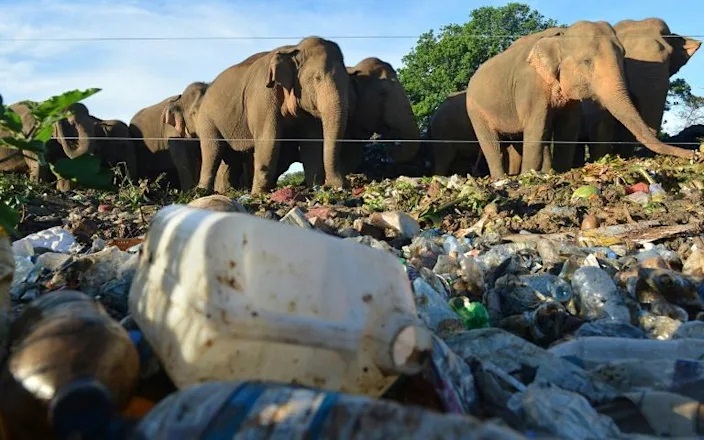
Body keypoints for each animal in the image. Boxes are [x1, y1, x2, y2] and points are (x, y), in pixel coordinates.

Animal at [194, 37, 350, 195]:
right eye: (317, 78)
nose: (339, 186)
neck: (294, 49)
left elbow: (312, 142)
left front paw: (314, 188)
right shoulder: (263, 96)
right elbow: (269, 138)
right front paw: (258, 194)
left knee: (230, 159)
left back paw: (227, 191)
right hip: (207, 120)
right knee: (212, 151)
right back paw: (203, 191)